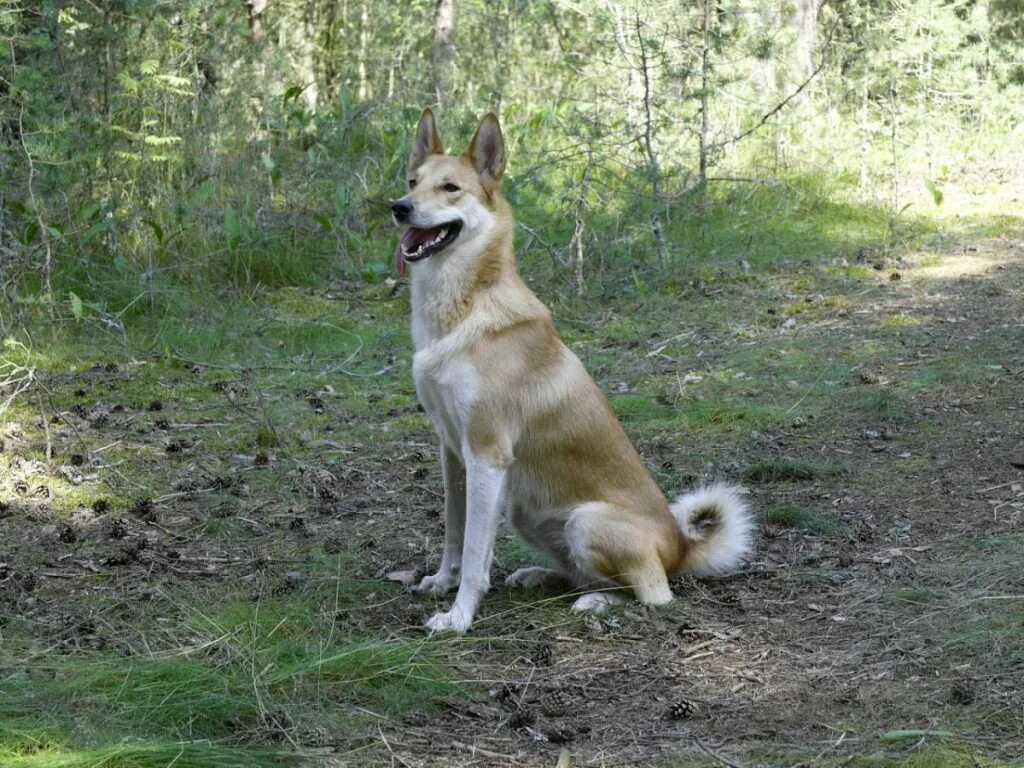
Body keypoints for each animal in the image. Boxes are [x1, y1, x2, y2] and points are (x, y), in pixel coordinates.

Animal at [391, 109, 753, 638]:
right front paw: (442, 581)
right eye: (412, 182)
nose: (398, 208)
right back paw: (543, 576)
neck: (463, 307)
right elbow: (455, 534)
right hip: (525, 511)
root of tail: (682, 546)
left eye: (450, 188)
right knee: (581, 574)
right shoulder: (453, 453)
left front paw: (459, 616)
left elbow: (477, 555)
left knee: (652, 593)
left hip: (584, 520)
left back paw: (597, 603)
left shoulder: (487, 457)